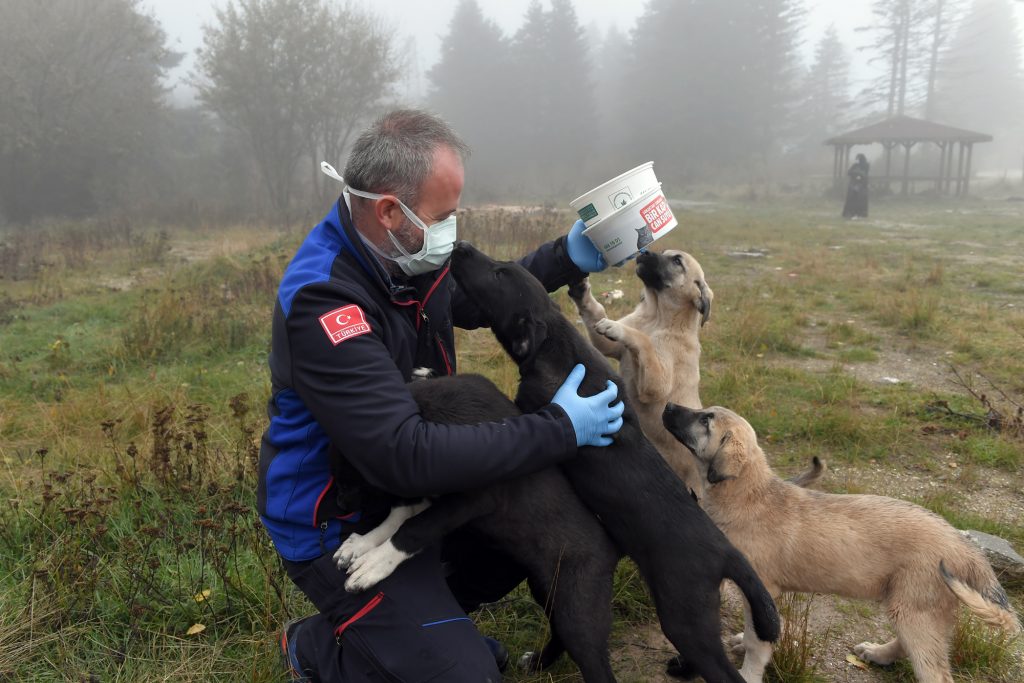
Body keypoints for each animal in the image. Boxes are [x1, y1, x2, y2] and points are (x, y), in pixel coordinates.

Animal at [331, 374, 618, 683]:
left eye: (349, 482)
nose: (339, 504)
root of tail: (612, 549)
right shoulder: (430, 492)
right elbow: (400, 517)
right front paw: (361, 544)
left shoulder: (472, 500)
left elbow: (414, 527)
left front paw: (373, 564)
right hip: (546, 590)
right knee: (559, 633)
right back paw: (538, 662)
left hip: (578, 609)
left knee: (594, 662)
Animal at [569, 249, 712, 491]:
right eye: (664, 253)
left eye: (677, 261)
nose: (644, 252)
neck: (656, 317)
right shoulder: (609, 346)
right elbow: (597, 314)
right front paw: (582, 292)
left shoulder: (657, 385)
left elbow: (642, 340)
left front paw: (617, 327)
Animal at [659, 401, 1019, 683]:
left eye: (706, 420)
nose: (668, 406)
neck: (749, 494)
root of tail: (966, 547)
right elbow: (754, 633)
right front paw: (740, 642)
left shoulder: (761, 588)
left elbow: (758, 641)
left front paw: (748, 673)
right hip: (912, 606)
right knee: (910, 646)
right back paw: (878, 653)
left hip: (915, 609)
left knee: (934, 671)